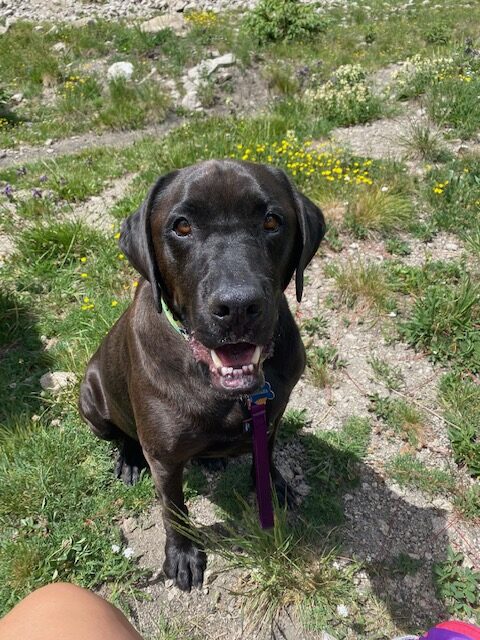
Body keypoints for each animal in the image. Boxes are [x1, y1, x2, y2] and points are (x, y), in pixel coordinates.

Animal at [79, 159, 326, 592]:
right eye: (181, 227)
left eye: (272, 221)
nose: (238, 306)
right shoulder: (164, 460)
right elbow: (174, 510)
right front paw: (182, 555)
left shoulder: (272, 415)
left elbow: (266, 455)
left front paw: (275, 486)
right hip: (92, 399)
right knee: (123, 434)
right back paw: (129, 460)